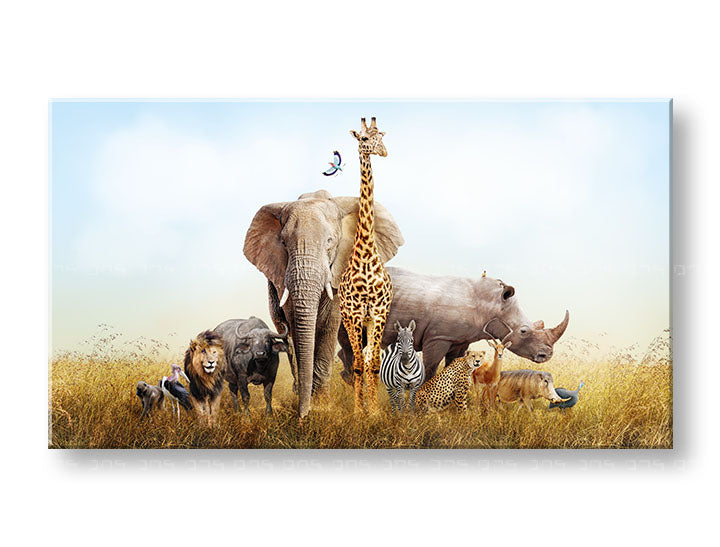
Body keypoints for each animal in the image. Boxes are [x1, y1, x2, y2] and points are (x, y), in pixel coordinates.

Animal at [243, 189, 404, 418]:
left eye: (330, 241)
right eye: (283, 243)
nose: (302, 416)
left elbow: (329, 322)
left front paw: (320, 405)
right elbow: (295, 323)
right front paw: (310, 402)